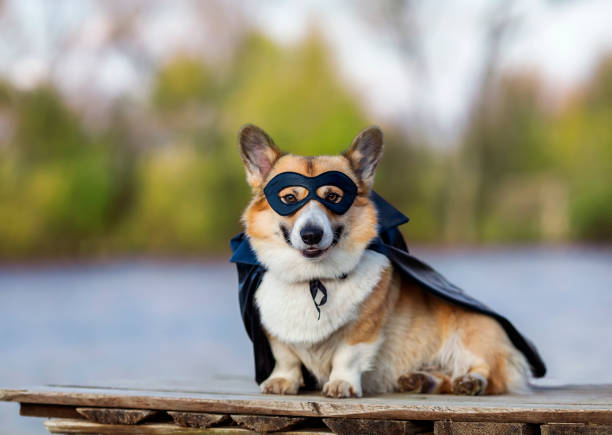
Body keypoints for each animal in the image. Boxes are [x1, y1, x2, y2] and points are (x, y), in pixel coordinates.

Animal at [237, 124, 528, 396]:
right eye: (288, 198)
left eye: (333, 197)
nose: (311, 234)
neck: (314, 278)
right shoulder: (276, 334)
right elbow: (286, 358)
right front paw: (282, 381)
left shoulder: (363, 329)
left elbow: (346, 356)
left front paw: (342, 383)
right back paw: (421, 380)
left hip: (474, 332)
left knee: (488, 371)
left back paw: (470, 381)